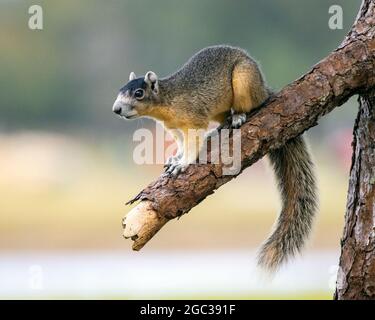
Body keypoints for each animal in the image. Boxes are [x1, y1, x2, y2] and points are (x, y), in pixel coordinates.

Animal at [113, 45, 318, 272]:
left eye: (139, 93)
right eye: (120, 90)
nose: (116, 109)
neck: (167, 102)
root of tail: (264, 88)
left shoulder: (194, 119)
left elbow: (192, 143)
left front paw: (182, 163)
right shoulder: (173, 128)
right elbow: (181, 143)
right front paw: (176, 157)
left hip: (244, 81)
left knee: (250, 106)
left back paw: (238, 116)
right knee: (224, 117)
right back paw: (220, 127)